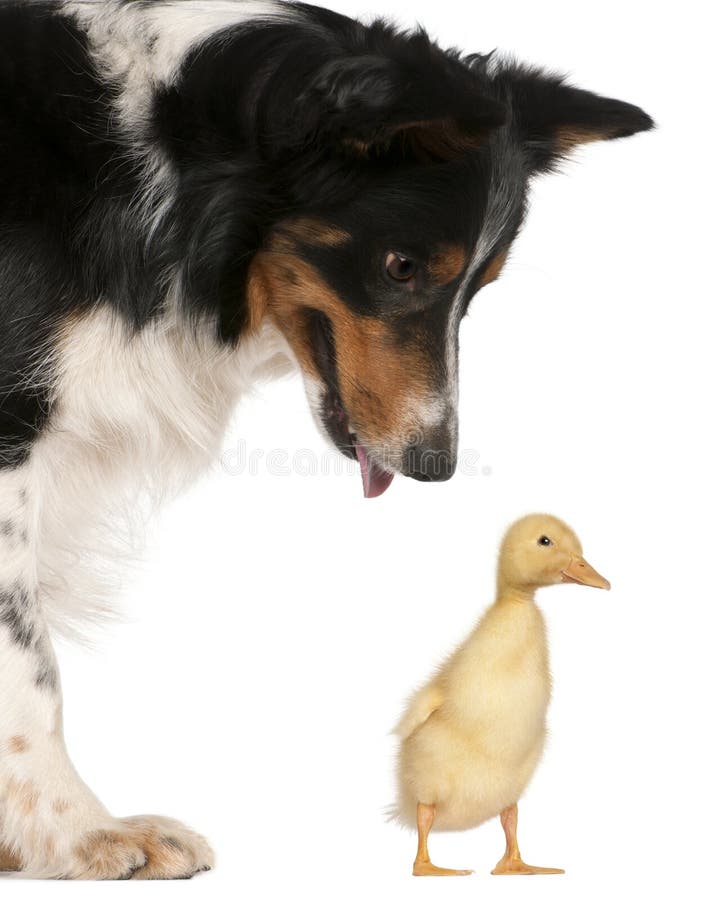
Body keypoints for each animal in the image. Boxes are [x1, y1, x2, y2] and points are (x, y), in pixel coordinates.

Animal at [0, 0, 652, 880]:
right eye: (402, 266)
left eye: (478, 288)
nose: (436, 465)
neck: (158, 163)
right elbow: (29, 661)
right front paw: (80, 834)